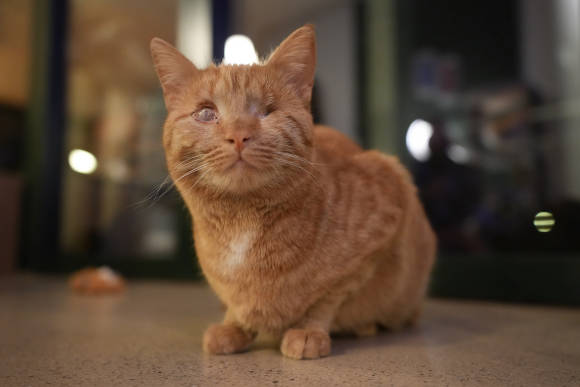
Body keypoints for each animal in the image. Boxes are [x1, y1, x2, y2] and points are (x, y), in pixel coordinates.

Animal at [150, 25, 436, 360]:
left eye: (267, 112)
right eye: (206, 114)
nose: (238, 136)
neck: (242, 223)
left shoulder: (388, 198)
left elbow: (328, 297)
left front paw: (309, 330)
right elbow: (237, 306)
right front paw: (233, 325)